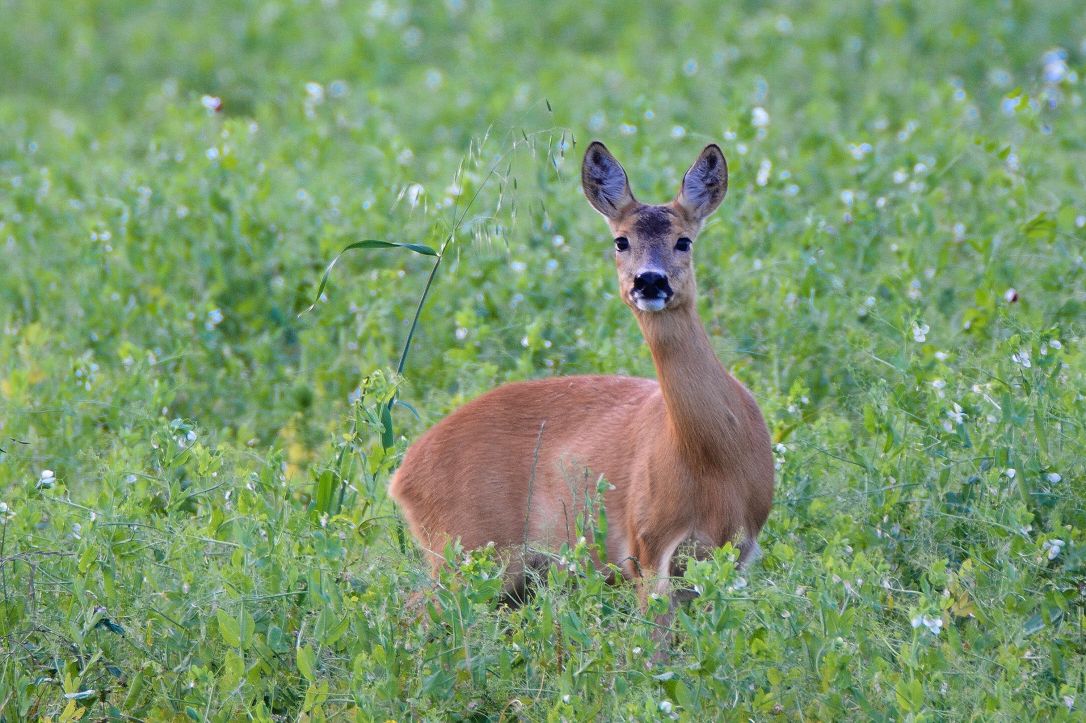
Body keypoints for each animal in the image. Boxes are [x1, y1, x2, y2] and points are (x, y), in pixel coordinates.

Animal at [389, 141, 774, 638]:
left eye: (684, 241)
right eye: (620, 240)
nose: (650, 280)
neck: (712, 459)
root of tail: (402, 475)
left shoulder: (738, 551)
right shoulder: (645, 545)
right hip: (467, 549)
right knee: (412, 610)